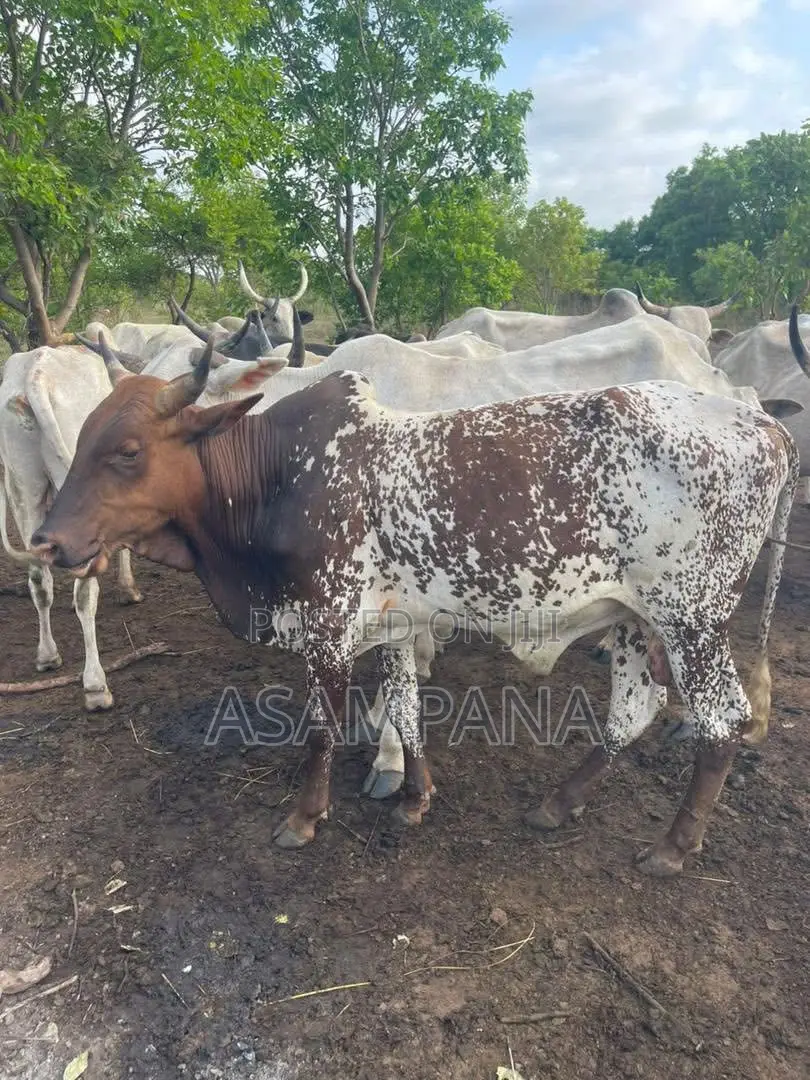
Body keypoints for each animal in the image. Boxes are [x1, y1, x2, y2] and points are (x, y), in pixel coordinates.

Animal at [0, 345, 143, 710]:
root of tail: (35, 375)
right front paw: (129, 589)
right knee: (84, 591)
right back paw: (95, 685)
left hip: (24, 484)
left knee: (39, 579)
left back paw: (47, 656)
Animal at [31, 349, 798, 878]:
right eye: (83, 439)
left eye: (128, 452)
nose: (46, 540)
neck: (282, 476)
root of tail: (762, 422)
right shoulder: (397, 624)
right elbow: (403, 707)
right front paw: (414, 798)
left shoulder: (328, 625)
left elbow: (322, 726)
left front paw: (304, 817)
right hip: (636, 618)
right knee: (633, 712)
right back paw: (558, 803)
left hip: (692, 618)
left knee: (722, 722)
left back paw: (673, 846)